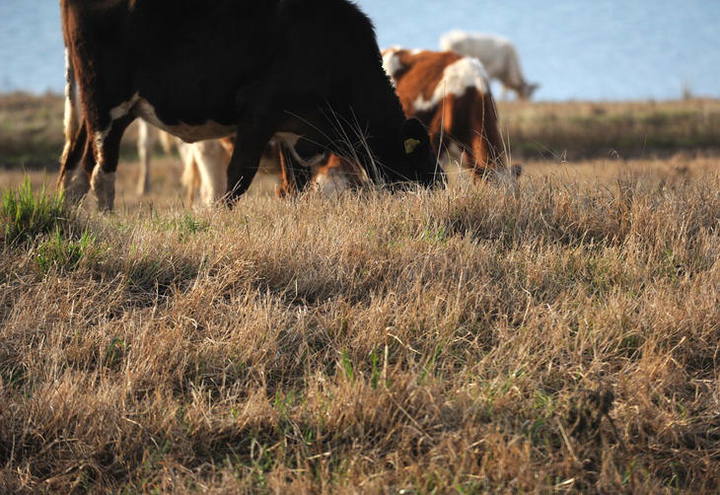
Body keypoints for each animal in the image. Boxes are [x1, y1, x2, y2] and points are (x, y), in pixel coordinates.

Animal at [59, 0, 442, 211]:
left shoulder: (293, 129)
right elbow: (239, 177)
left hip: (90, 111)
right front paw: (220, 217)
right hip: (108, 105)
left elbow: (295, 185)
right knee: (101, 175)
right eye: (421, 162)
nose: (438, 193)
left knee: (74, 169)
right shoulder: (259, 116)